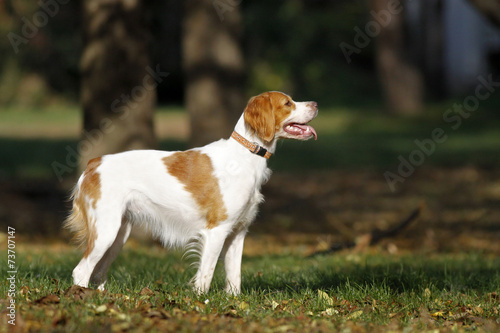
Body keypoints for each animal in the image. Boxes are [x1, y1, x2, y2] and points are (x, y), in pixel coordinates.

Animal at [65, 91, 316, 294]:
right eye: (288, 103)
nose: (315, 104)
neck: (243, 157)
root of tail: (93, 163)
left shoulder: (238, 232)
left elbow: (234, 277)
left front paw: (234, 303)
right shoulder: (217, 229)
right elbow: (206, 274)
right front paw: (202, 303)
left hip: (119, 234)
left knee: (97, 273)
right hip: (105, 231)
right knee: (81, 271)